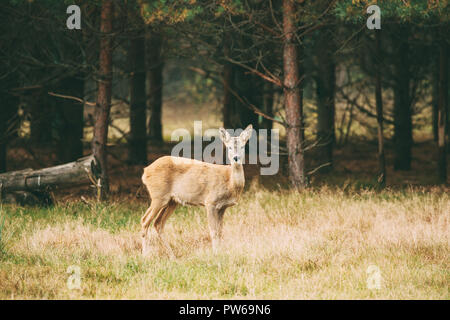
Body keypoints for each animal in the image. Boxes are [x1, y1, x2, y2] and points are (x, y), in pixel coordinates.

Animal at [141, 124, 253, 256]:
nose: (236, 158)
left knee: (158, 223)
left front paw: (220, 252)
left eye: (243, 146)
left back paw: (172, 256)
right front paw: (216, 254)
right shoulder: (210, 202)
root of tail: (145, 172)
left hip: (172, 201)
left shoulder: (222, 207)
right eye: (229, 147)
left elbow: (220, 232)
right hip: (158, 196)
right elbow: (213, 232)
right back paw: (146, 255)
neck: (229, 183)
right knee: (145, 220)